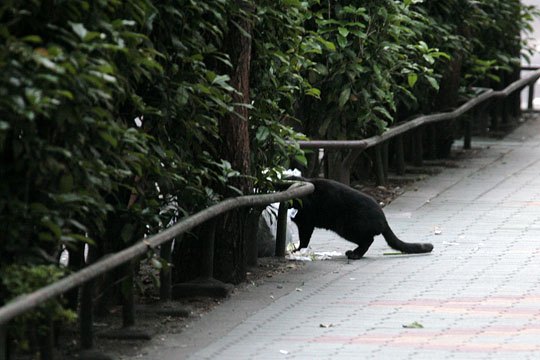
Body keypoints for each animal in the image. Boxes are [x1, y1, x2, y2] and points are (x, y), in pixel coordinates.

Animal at [288, 177, 432, 258]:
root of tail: (383, 218)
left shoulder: (305, 223)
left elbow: (304, 240)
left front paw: (298, 251)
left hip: (347, 228)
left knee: (368, 240)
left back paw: (355, 254)